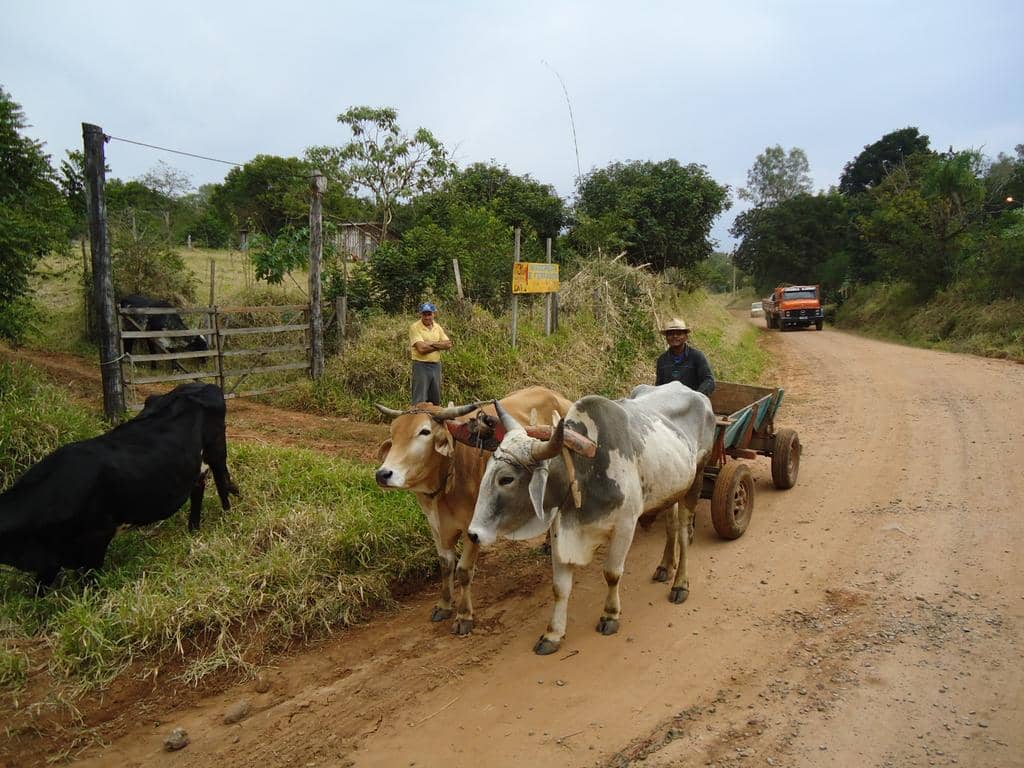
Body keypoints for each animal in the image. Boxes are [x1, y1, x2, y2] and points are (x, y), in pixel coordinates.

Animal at [0, 385, 238, 589]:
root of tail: (200, 385)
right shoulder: (54, 556)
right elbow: (41, 586)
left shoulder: (98, 536)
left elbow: (89, 580)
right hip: (196, 464)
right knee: (199, 487)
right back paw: (193, 528)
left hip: (217, 451)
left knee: (220, 482)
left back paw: (227, 515)